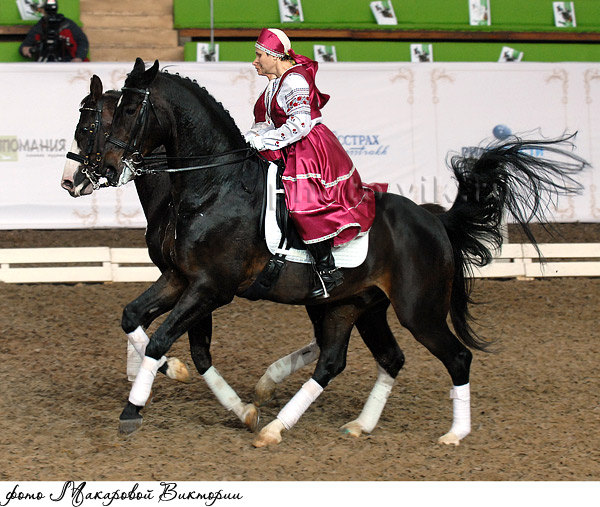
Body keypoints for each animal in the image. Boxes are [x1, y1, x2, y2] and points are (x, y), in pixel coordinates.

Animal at [95, 58, 584, 448]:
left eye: (131, 109)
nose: (106, 167)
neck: (214, 185)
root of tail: (435, 222)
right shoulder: (181, 278)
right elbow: (132, 317)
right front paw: (167, 378)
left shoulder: (211, 287)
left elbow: (161, 338)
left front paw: (133, 409)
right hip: (356, 305)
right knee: (359, 359)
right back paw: (333, 425)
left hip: (417, 310)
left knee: (456, 357)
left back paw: (454, 434)